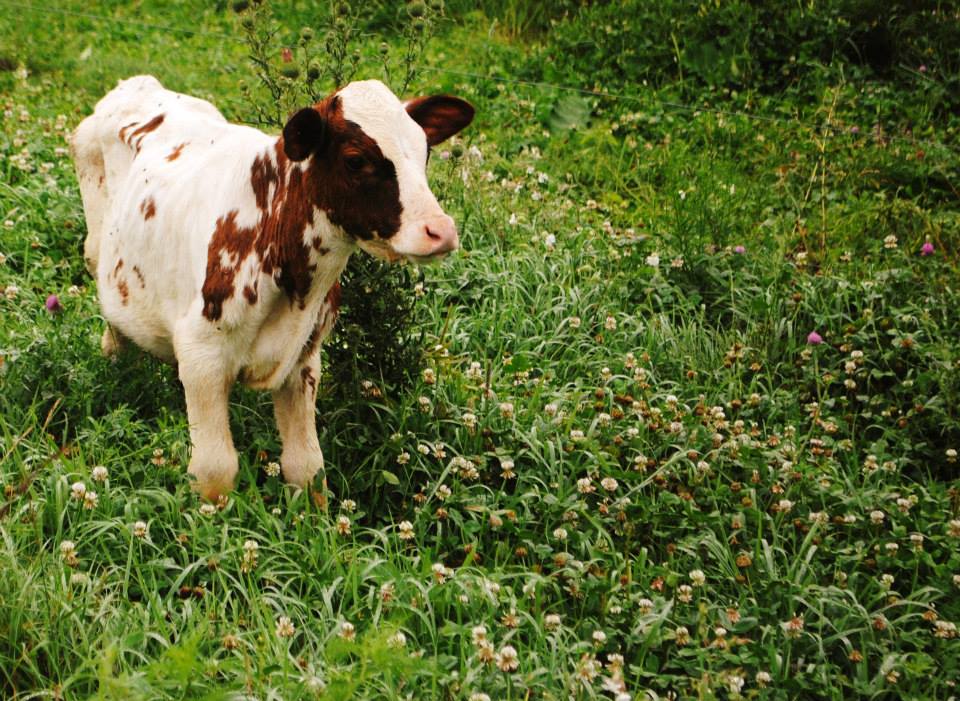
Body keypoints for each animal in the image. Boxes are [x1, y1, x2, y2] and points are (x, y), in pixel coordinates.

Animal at [69, 75, 474, 498]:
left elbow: (306, 466)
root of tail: (137, 84)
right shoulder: (200, 357)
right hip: (97, 251)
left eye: (425, 150)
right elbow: (214, 470)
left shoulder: (304, 358)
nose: (440, 230)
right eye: (355, 159)